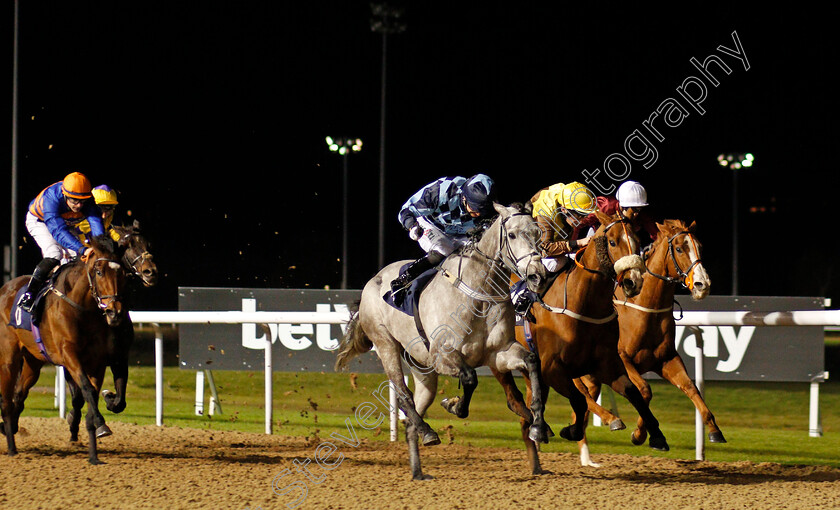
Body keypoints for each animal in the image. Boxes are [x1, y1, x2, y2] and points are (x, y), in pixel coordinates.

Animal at [0, 237, 126, 464]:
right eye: (99, 271)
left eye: (122, 273)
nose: (115, 312)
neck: (81, 307)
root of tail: (6, 288)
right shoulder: (69, 355)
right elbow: (86, 388)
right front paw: (99, 421)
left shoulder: (97, 361)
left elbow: (92, 393)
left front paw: (94, 452)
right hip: (9, 358)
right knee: (6, 400)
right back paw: (12, 448)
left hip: (33, 362)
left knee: (19, 394)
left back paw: (10, 428)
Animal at [334, 201, 552, 480]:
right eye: (512, 235)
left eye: (538, 233)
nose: (537, 276)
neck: (480, 292)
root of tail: (373, 281)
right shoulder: (443, 355)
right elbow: (470, 378)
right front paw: (455, 405)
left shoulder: (498, 353)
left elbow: (532, 360)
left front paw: (539, 426)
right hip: (386, 345)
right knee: (403, 394)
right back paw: (428, 432)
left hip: (422, 368)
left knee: (412, 416)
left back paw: (418, 470)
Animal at [512, 209, 668, 472]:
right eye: (613, 242)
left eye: (638, 240)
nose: (633, 281)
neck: (584, 304)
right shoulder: (553, 368)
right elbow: (579, 400)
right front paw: (570, 430)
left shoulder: (607, 364)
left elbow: (633, 392)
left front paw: (656, 436)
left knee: (529, 415)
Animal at [576, 219, 720, 466]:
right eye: (679, 248)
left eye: (700, 247)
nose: (703, 285)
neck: (644, 307)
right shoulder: (622, 358)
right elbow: (644, 389)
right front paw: (641, 434)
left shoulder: (667, 359)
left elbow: (691, 388)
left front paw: (714, 430)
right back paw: (610, 420)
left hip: (591, 378)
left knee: (582, 408)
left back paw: (586, 456)